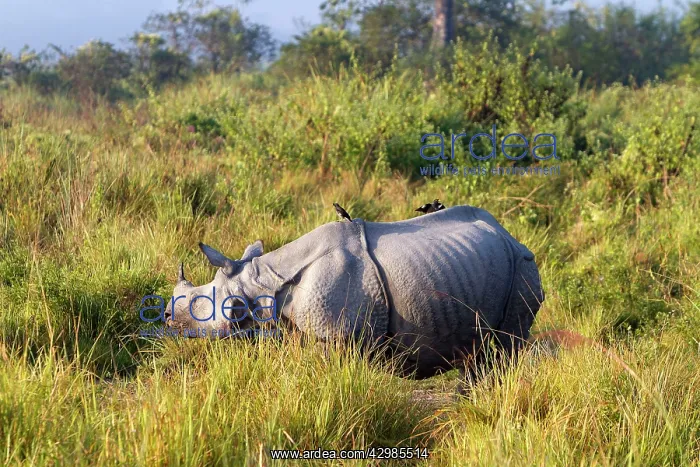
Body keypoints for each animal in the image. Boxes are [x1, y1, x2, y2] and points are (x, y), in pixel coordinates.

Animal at [164, 205, 544, 379]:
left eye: (199, 303)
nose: (166, 316)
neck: (261, 282)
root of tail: (509, 235)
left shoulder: (339, 336)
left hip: (522, 267)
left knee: (503, 347)